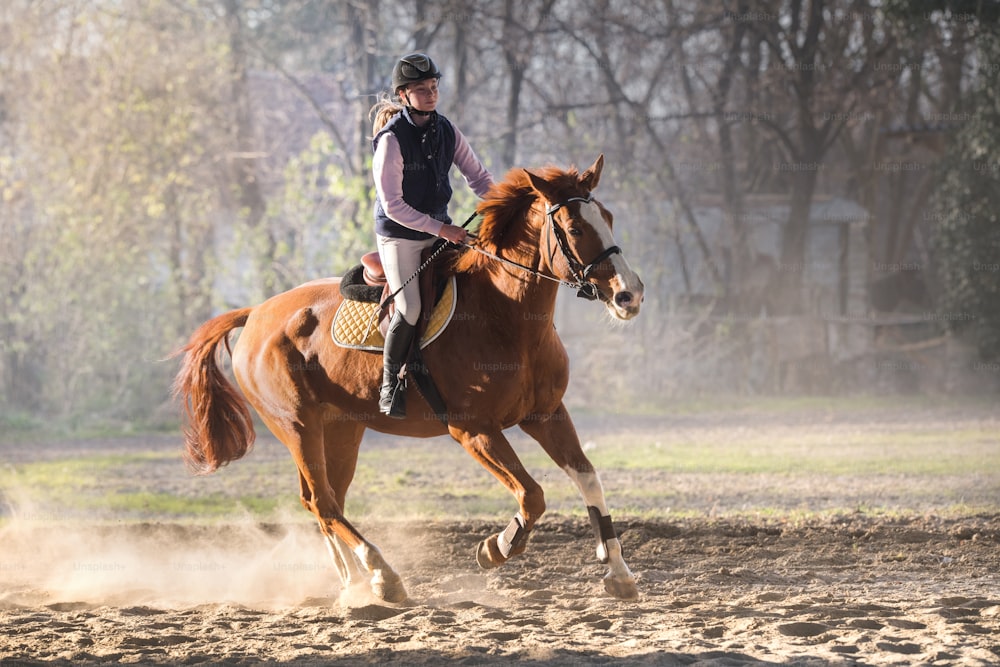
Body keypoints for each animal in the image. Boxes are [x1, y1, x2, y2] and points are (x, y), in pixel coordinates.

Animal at [175, 154, 644, 604]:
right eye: (575, 227)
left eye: (609, 217)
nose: (630, 295)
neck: (505, 316)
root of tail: (256, 312)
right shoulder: (474, 430)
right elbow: (532, 496)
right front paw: (496, 548)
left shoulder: (546, 415)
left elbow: (588, 479)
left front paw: (618, 573)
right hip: (297, 426)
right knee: (323, 502)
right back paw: (382, 574)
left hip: (342, 429)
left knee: (324, 501)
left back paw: (355, 583)